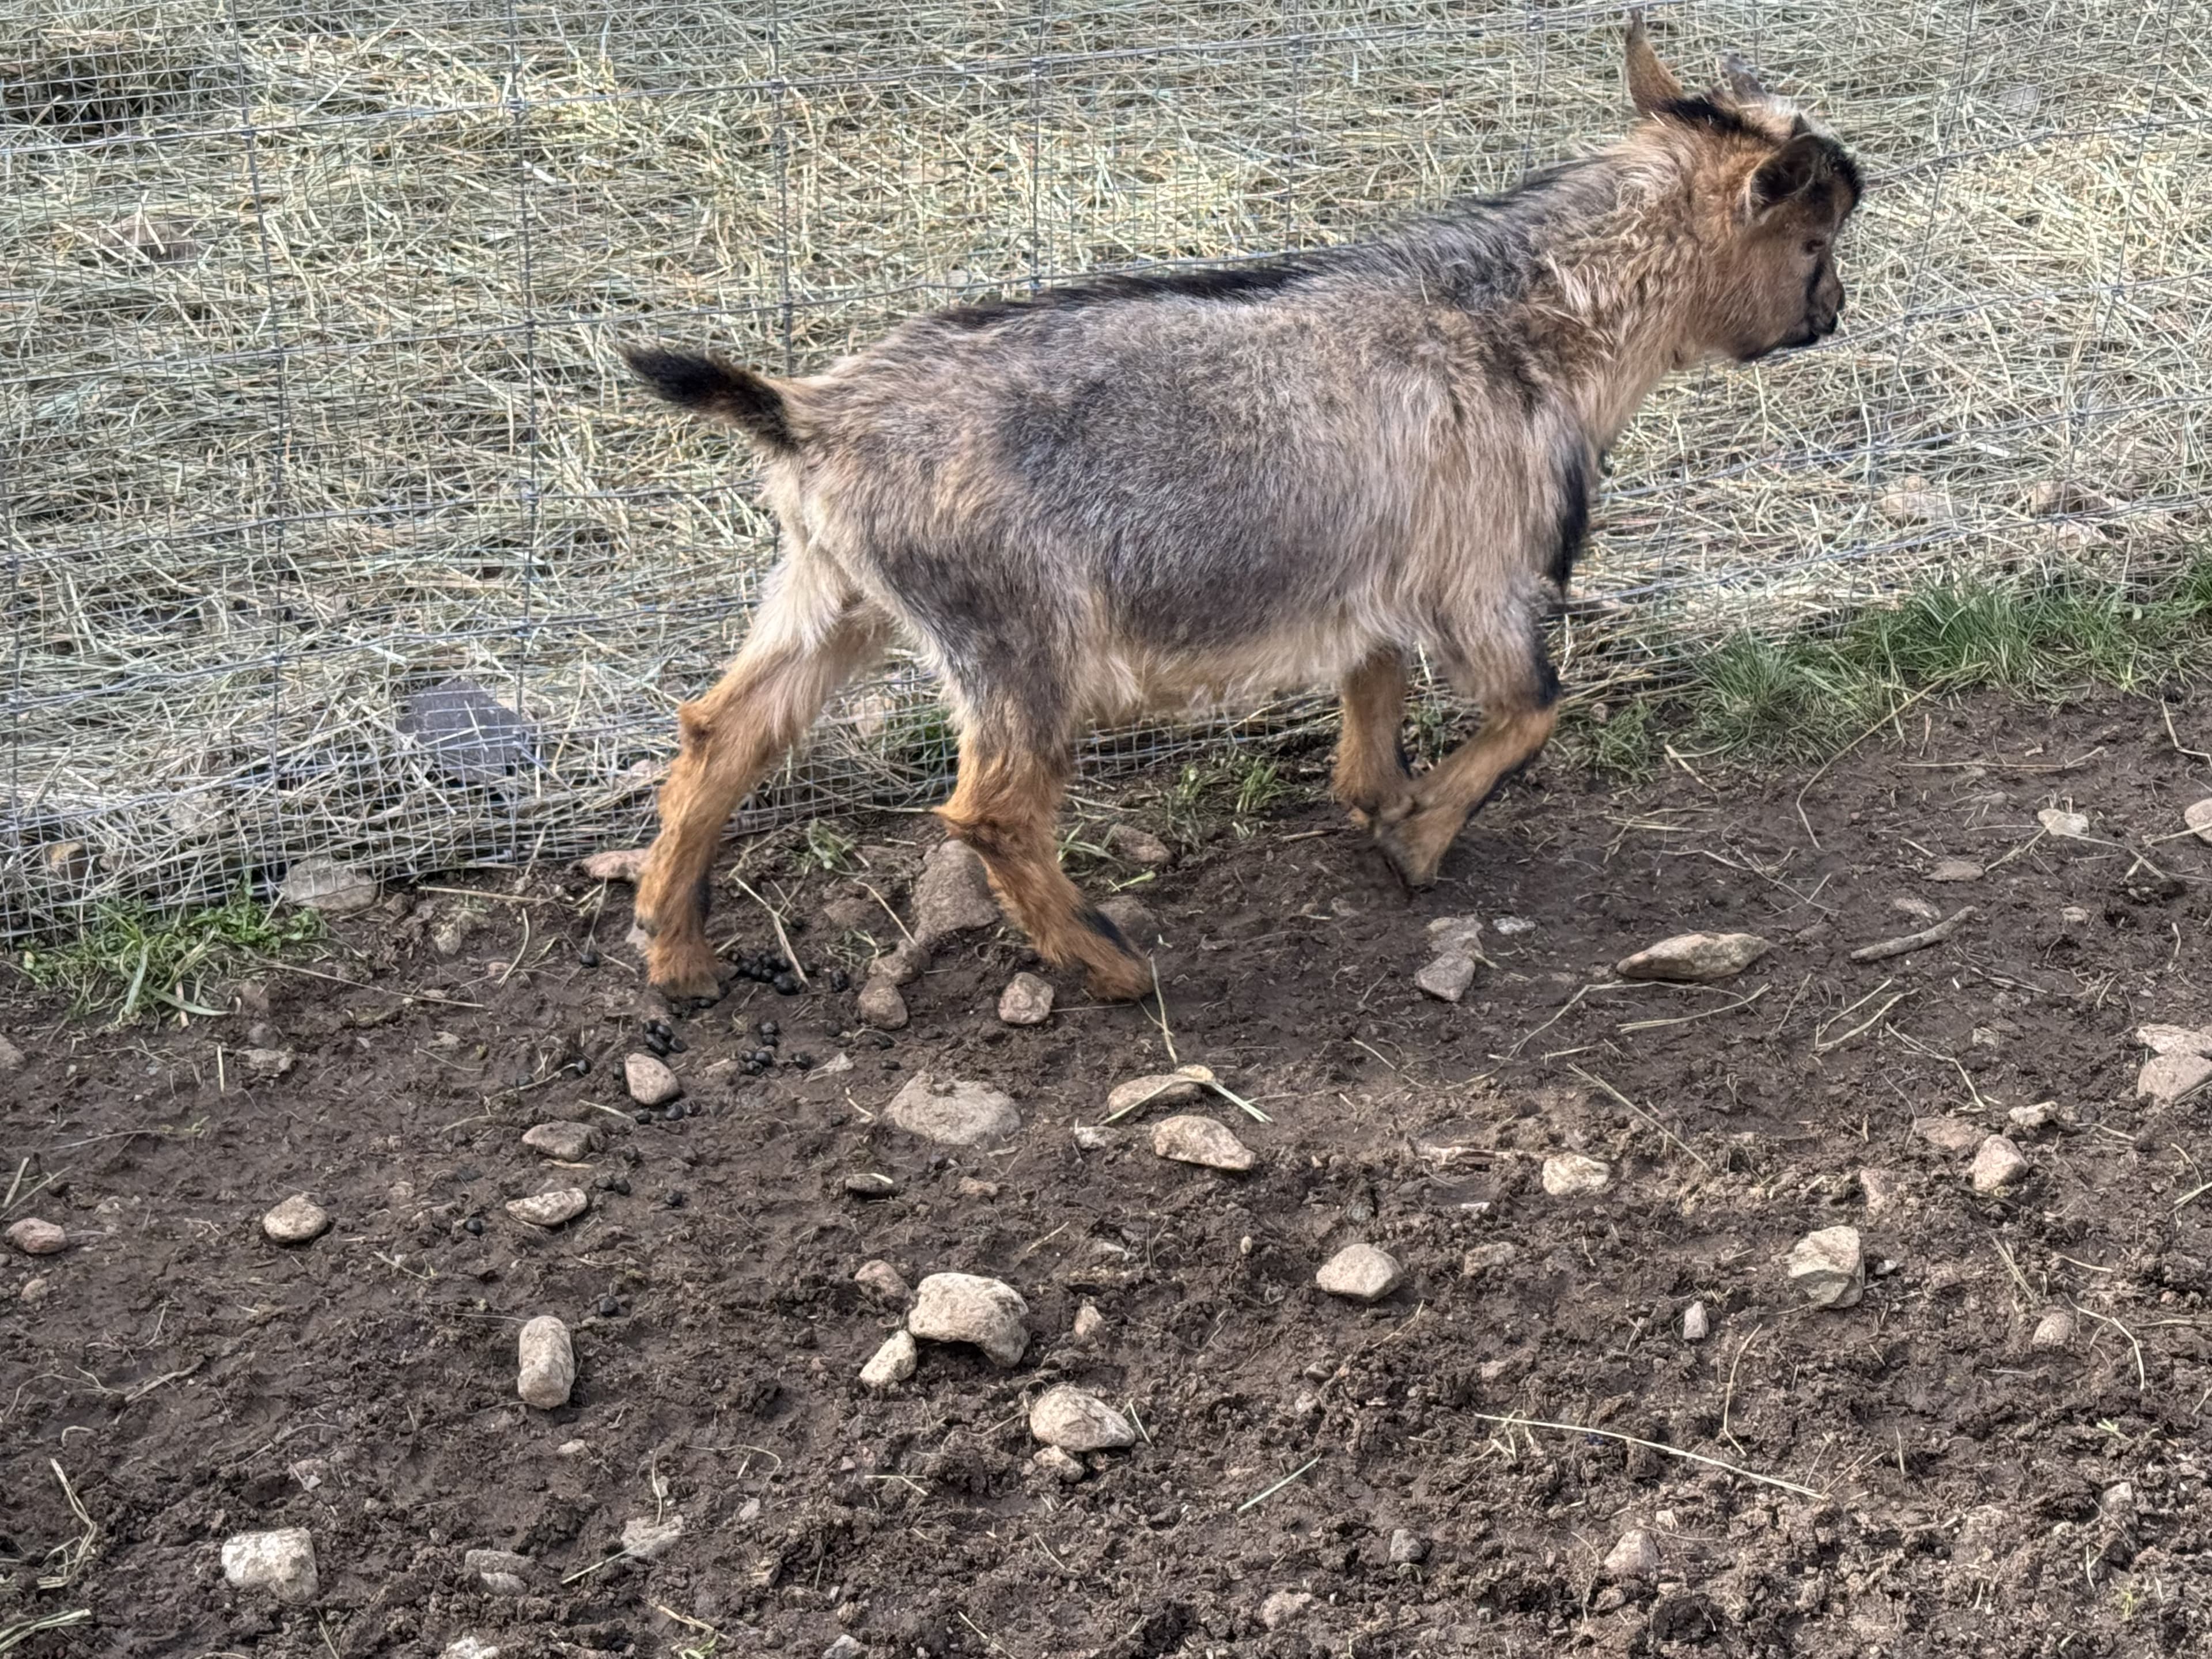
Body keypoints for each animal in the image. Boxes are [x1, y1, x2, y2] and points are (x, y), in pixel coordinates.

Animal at [619, 16, 1860, 1005]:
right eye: (1815, 239)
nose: (1834, 311)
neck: (1525, 319)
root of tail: (809, 417)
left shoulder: (1375, 569)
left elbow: (1376, 679)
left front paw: (1376, 799)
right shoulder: (1486, 569)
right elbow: (1529, 711)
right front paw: (1418, 840)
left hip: (831, 592)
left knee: (724, 731)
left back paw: (678, 956)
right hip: (1018, 630)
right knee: (995, 810)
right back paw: (1112, 966)